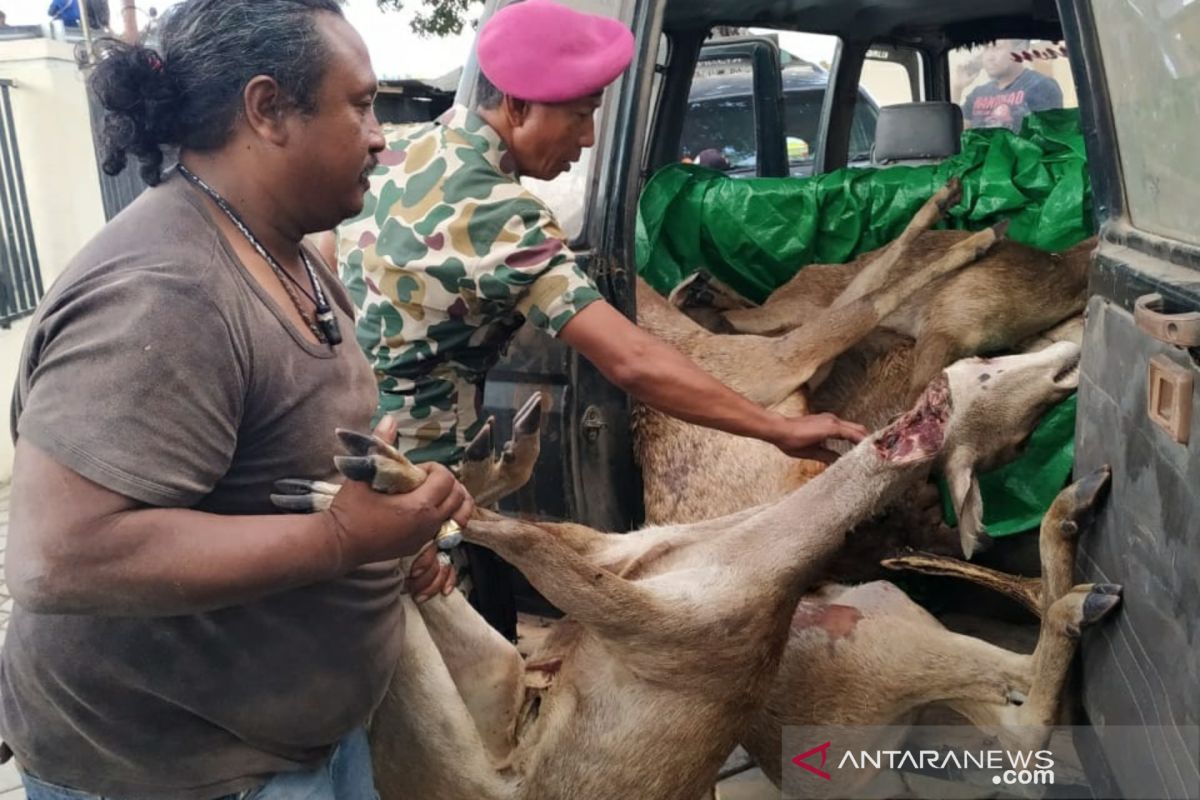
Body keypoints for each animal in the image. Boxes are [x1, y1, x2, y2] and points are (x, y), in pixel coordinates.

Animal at [278, 340, 1089, 796]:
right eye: (989, 367)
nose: (1069, 365)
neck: (747, 560)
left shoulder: (669, 635)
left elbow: (535, 547)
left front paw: (387, 472)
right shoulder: (628, 549)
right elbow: (552, 535)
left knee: (1022, 730)